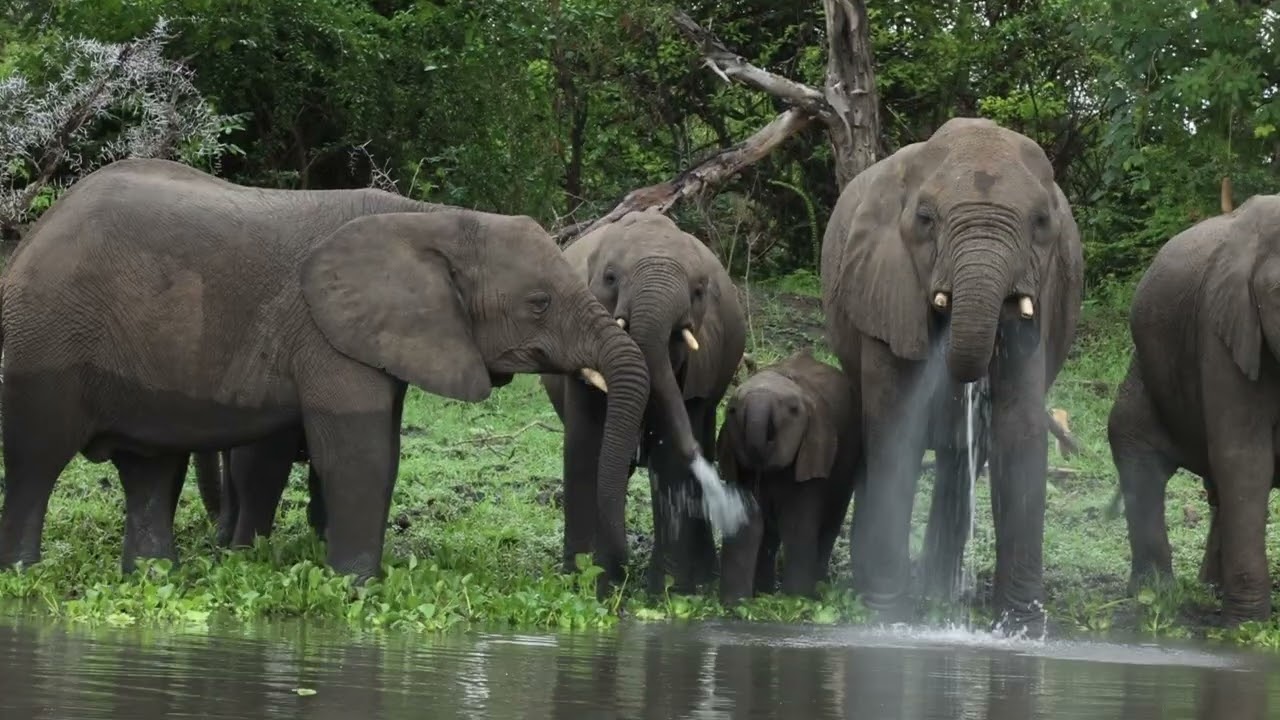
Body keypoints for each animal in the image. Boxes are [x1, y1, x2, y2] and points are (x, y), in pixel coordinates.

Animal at [0, 157, 650, 582]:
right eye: (539, 303)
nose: (613, 575)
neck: (431, 220)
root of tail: (33, 235)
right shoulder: (325, 333)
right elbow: (360, 453)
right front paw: (357, 586)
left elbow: (381, 451)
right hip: (45, 340)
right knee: (36, 459)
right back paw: (23, 574)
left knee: (150, 469)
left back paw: (154, 579)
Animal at [541, 210, 748, 593]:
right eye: (610, 278)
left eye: (698, 291)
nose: (619, 574)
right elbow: (585, 448)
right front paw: (585, 582)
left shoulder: (699, 364)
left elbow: (670, 460)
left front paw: (664, 592)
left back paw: (701, 578)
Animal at [715, 350, 860, 605]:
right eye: (731, 410)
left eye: (793, 411)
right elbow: (744, 524)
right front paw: (737, 606)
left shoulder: (812, 457)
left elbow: (796, 526)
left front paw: (795, 601)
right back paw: (764, 592)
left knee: (832, 519)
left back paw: (817, 586)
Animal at [820, 117, 1085, 632]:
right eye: (926, 219)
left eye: (1041, 223)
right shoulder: (884, 284)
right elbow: (894, 426)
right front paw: (887, 616)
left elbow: (1019, 430)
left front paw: (1021, 627)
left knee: (959, 459)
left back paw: (939, 595)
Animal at [1107, 193, 1280, 624]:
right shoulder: (1223, 331)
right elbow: (1243, 459)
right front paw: (1244, 625)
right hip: (1145, 371)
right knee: (1139, 457)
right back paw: (1155, 592)